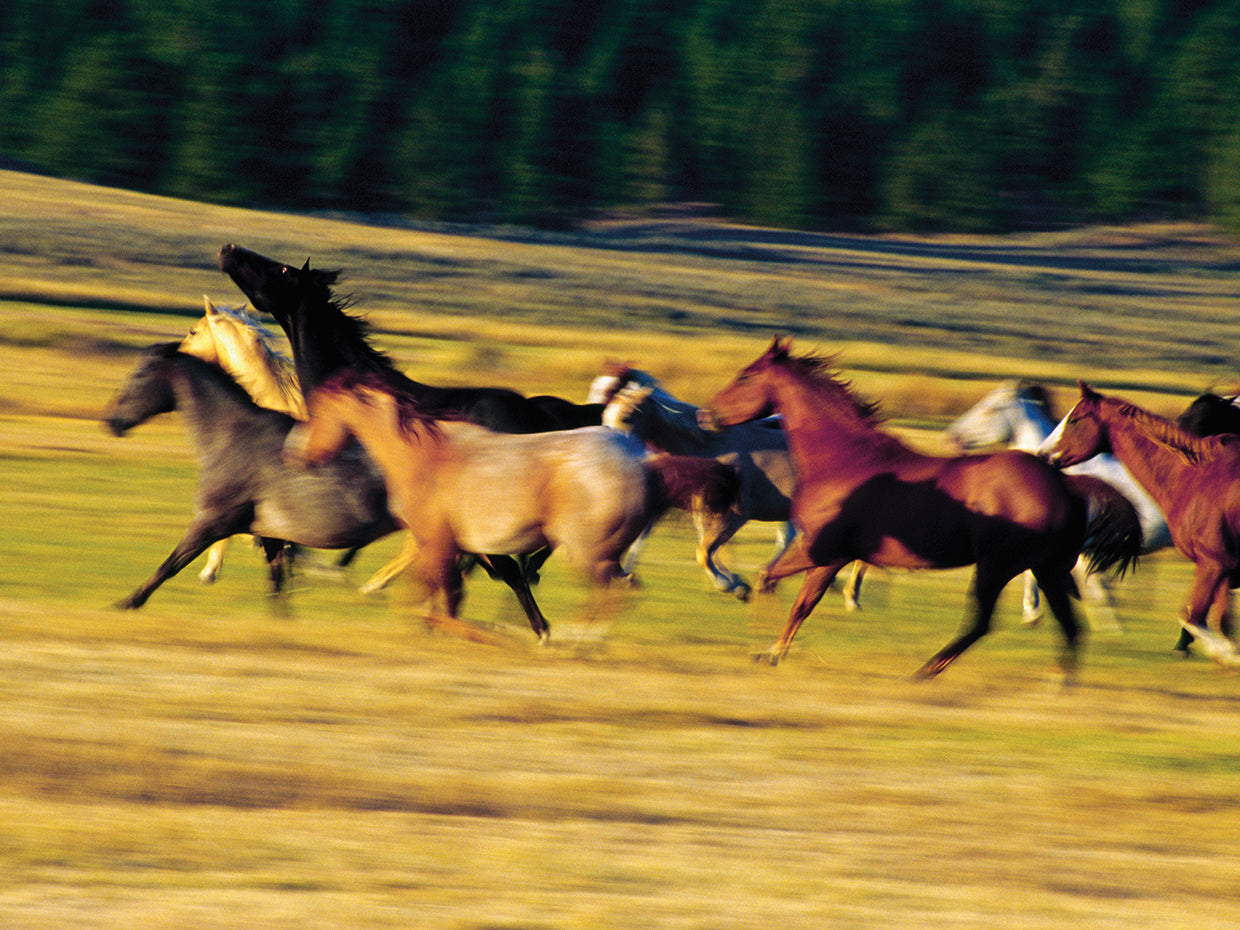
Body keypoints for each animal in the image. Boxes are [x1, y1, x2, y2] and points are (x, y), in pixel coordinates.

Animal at [287, 367, 668, 644]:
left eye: (317, 410)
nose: (299, 453)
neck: (424, 456)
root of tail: (638, 460)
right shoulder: (452, 546)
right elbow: (437, 597)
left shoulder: (438, 544)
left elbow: (445, 603)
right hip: (596, 553)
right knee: (624, 589)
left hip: (585, 552)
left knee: (615, 592)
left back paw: (573, 639)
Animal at [598, 370, 868, 608]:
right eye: (605, 415)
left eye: (627, 416)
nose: (608, 453)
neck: (709, 448)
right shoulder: (701, 510)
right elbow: (703, 548)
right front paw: (737, 584)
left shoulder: (735, 515)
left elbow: (704, 552)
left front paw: (730, 586)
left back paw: (849, 595)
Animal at [703, 337, 1141, 679]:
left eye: (745, 376)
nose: (707, 415)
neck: (846, 460)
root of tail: (1065, 483)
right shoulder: (832, 557)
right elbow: (796, 599)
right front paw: (768, 648)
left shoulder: (818, 549)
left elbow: (773, 585)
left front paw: (765, 648)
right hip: (1046, 568)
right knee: (1070, 628)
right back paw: (1057, 685)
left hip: (997, 566)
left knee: (981, 623)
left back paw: (924, 672)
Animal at [1042, 383, 1240, 668]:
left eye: (1074, 420)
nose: (1042, 454)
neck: (1191, 477)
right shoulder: (1219, 567)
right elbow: (1215, 619)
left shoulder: (1215, 563)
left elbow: (1192, 618)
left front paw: (1222, 653)